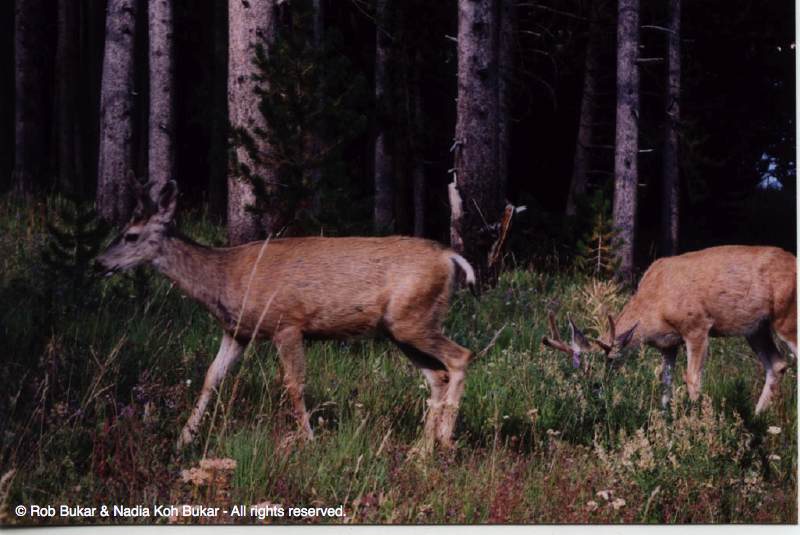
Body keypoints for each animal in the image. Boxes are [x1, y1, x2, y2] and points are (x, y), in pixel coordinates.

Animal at [94, 178, 477, 451]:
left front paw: (308, 439)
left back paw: (444, 439)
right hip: (400, 329)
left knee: (461, 356)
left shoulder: (287, 324)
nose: (98, 262)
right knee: (437, 376)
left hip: (413, 318)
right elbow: (210, 377)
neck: (223, 278)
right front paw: (183, 439)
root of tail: (451, 257)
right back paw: (421, 449)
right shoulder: (237, 331)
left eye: (131, 235)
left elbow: (294, 384)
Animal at [543, 245, 796, 414]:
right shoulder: (668, 344)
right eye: (580, 368)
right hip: (757, 329)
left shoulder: (697, 327)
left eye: (611, 360)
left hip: (786, 318)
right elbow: (666, 382)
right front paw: (666, 421)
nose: (594, 389)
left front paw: (695, 421)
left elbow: (692, 380)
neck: (656, 306)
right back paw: (757, 416)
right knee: (777, 364)